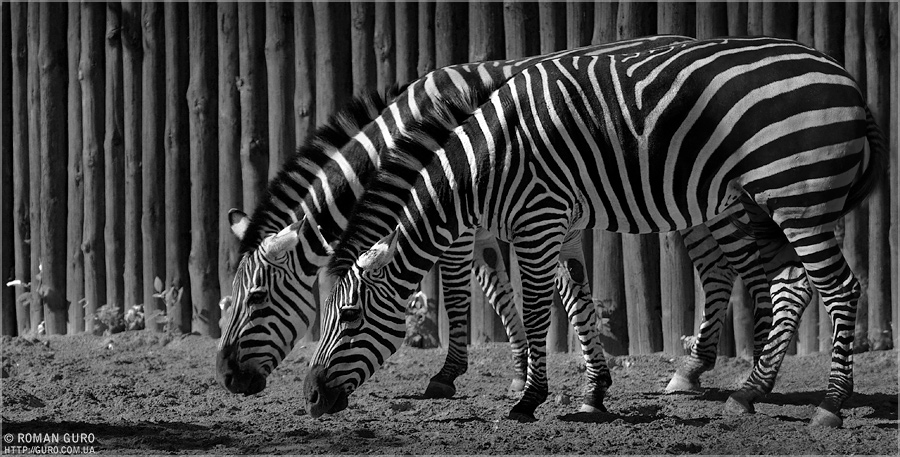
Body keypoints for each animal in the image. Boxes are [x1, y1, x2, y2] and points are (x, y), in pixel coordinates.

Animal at [216, 34, 704, 396]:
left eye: (256, 298)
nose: (226, 377)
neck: (407, 133)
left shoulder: (458, 222)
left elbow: (456, 294)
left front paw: (447, 376)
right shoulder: (479, 226)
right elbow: (499, 291)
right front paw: (523, 372)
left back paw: (693, 371)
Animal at [308, 36, 884, 428]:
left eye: (350, 316)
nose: (310, 397)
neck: (484, 163)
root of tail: (849, 80)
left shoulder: (536, 220)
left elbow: (537, 310)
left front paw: (526, 399)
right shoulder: (557, 225)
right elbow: (578, 299)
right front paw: (593, 392)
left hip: (797, 196)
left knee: (838, 288)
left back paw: (830, 404)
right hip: (767, 203)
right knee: (790, 283)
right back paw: (749, 391)